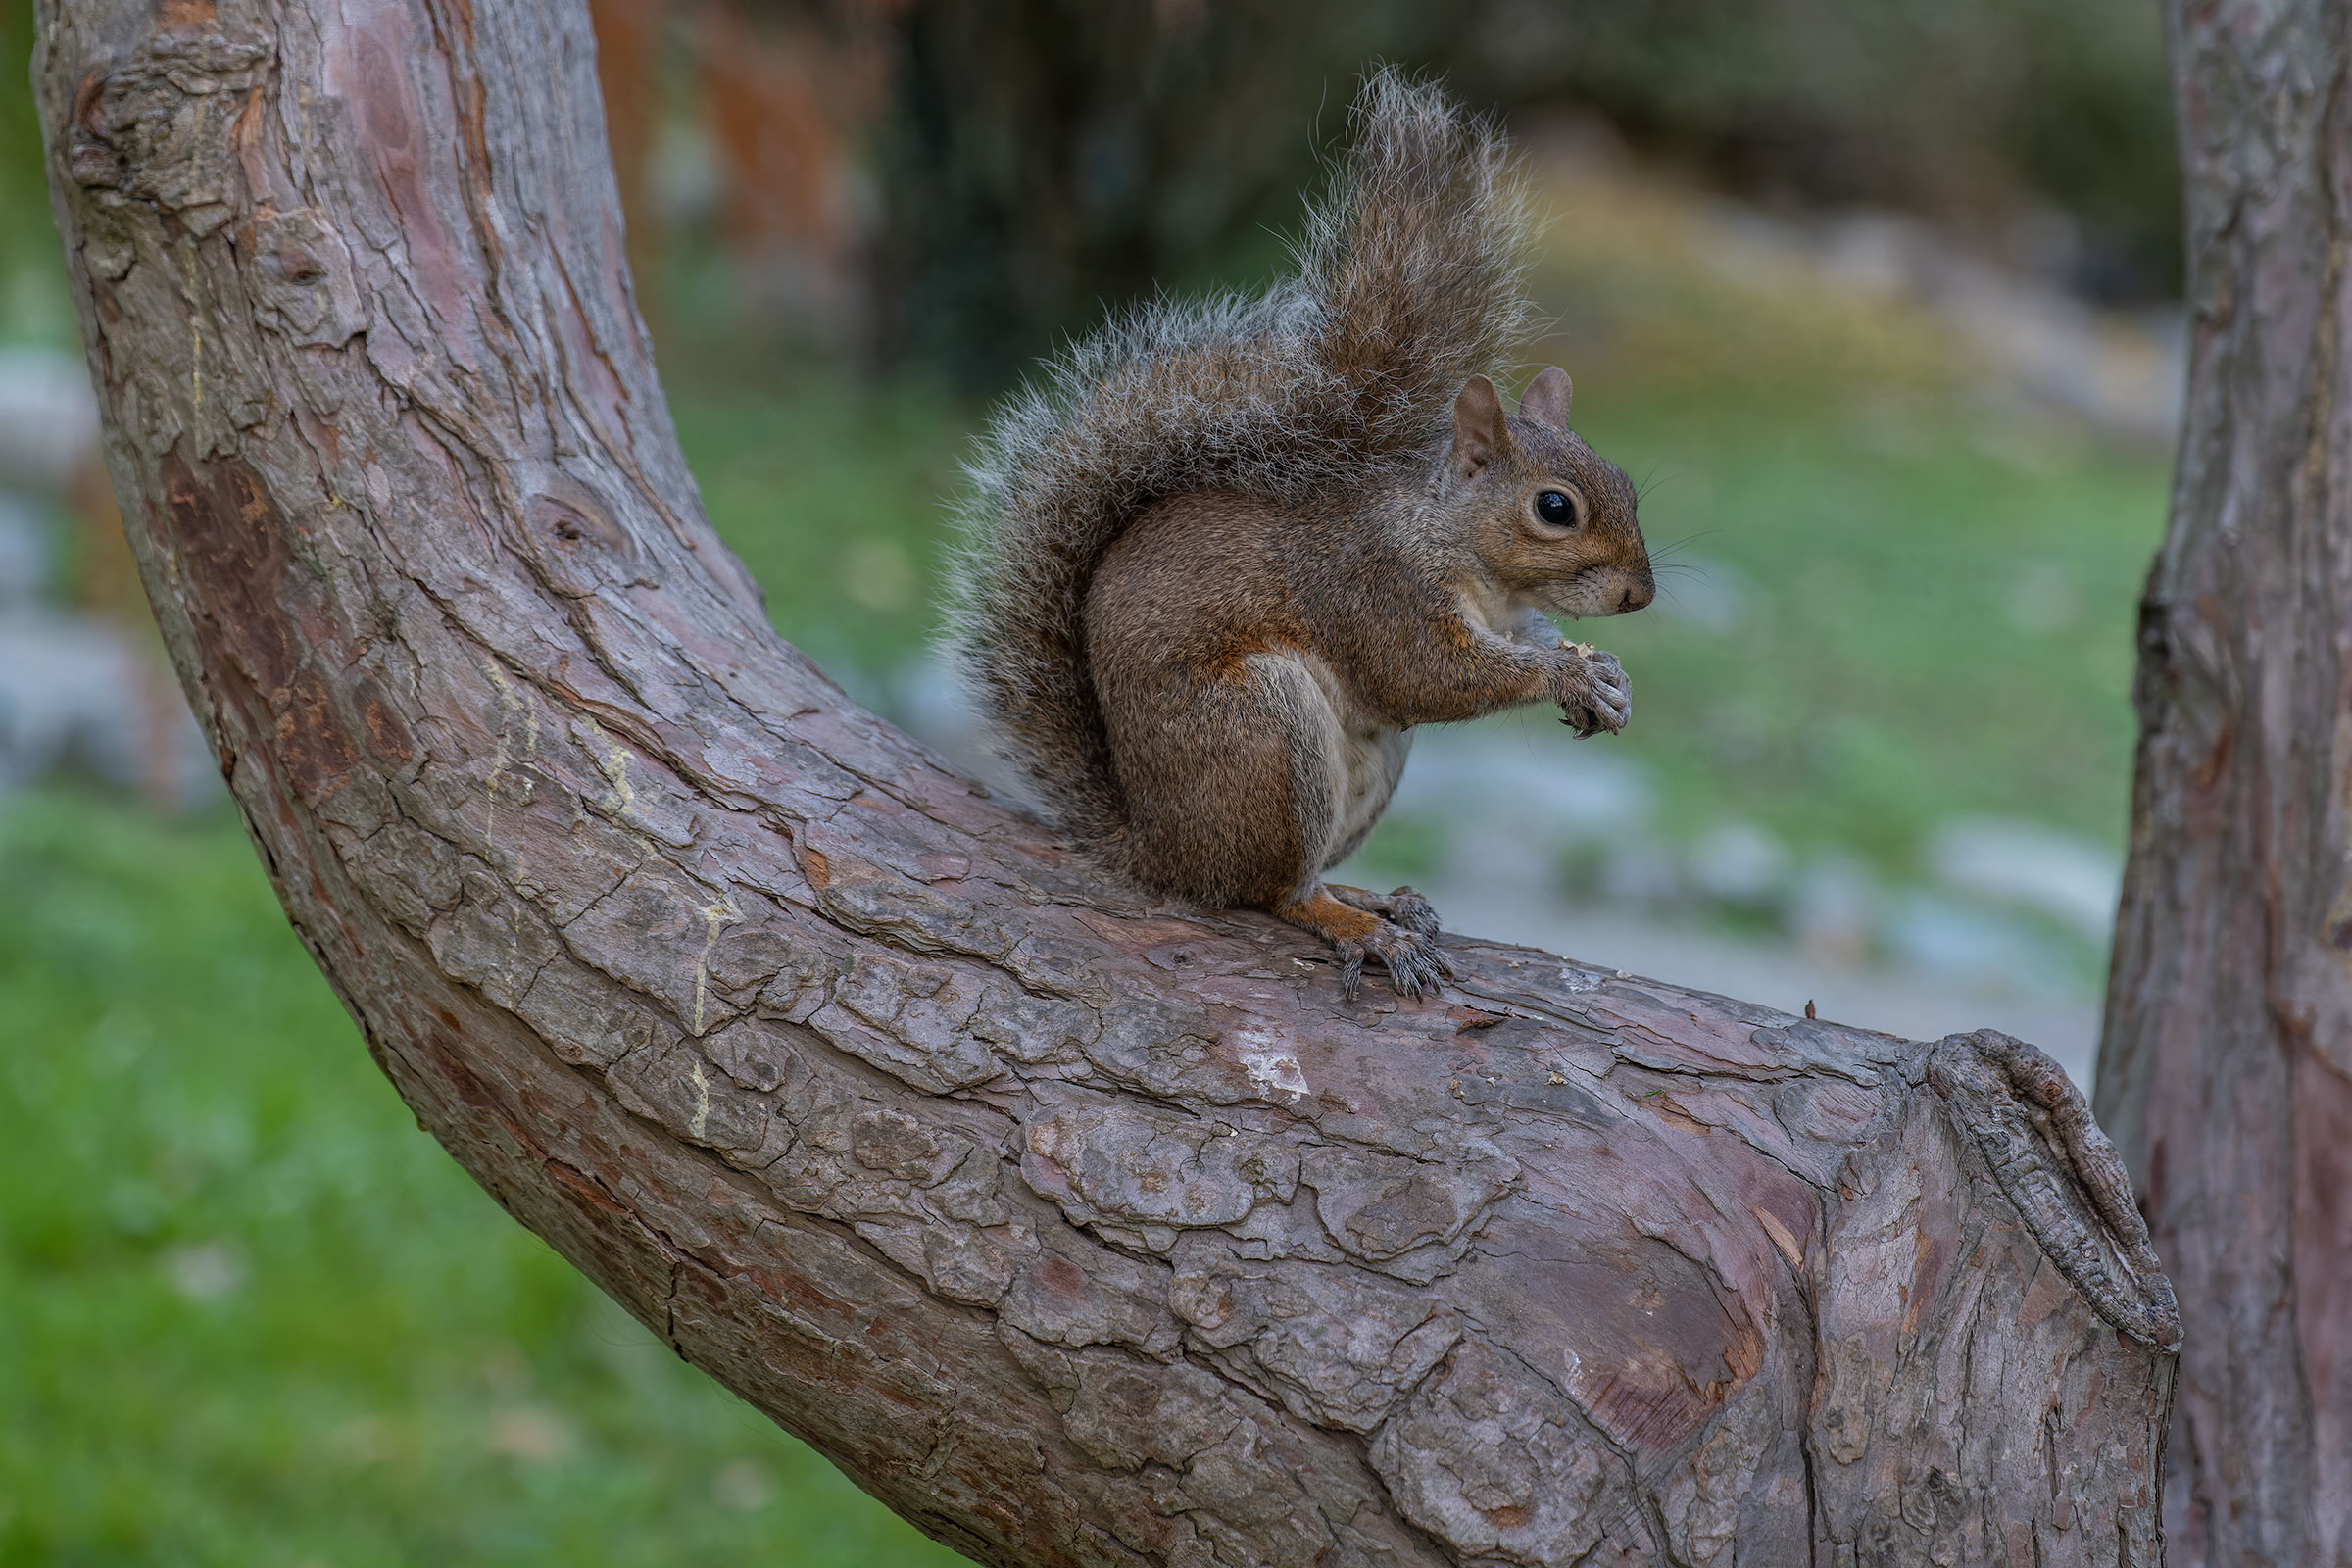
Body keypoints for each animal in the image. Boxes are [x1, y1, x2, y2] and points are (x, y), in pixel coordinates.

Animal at [945, 71, 1655, 999]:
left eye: (1627, 484)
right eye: (1556, 508)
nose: (1640, 594)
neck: (1459, 550)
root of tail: (1159, 849)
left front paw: (1607, 682)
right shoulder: (1375, 588)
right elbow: (1426, 676)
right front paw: (1562, 676)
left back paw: (1372, 897)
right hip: (1263, 735)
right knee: (1272, 892)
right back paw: (1355, 925)